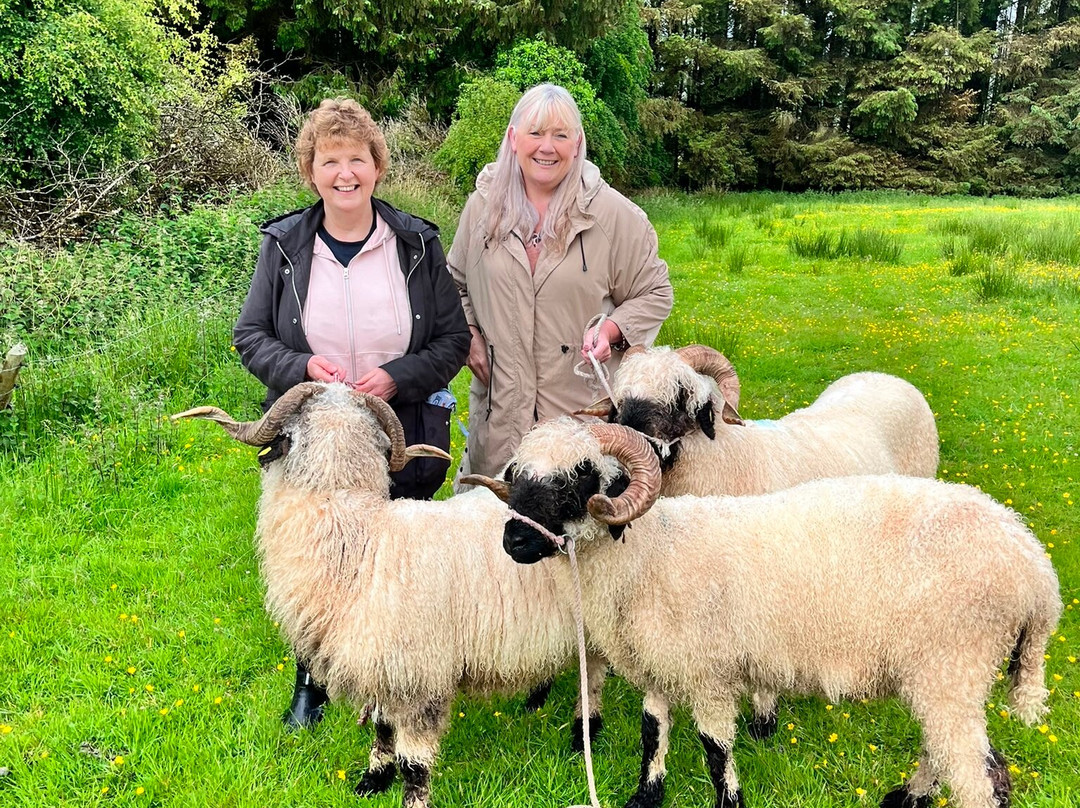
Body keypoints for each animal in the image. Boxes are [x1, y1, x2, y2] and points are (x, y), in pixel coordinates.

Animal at [173, 382, 601, 808]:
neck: (360, 542)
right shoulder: (384, 668)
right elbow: (382, 731)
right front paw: (373, 781)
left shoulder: (420, 676)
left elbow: (414, 762)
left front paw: (411, 798)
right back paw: (536, 701)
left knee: (595, 676)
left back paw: (583, 738)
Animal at [463, 418, 1061, 808]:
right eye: (519, 475)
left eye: (580, 477)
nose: (514, 541)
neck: (649, 554)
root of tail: (1037, 571)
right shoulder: (659, 666)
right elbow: (652, 734)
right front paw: (645, 797)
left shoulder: (707, 672)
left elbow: (715, 751)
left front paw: (729, 802)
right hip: (940, 674)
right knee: (949, 752)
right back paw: (906, 797)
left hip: (954, 662)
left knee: (977, 777)